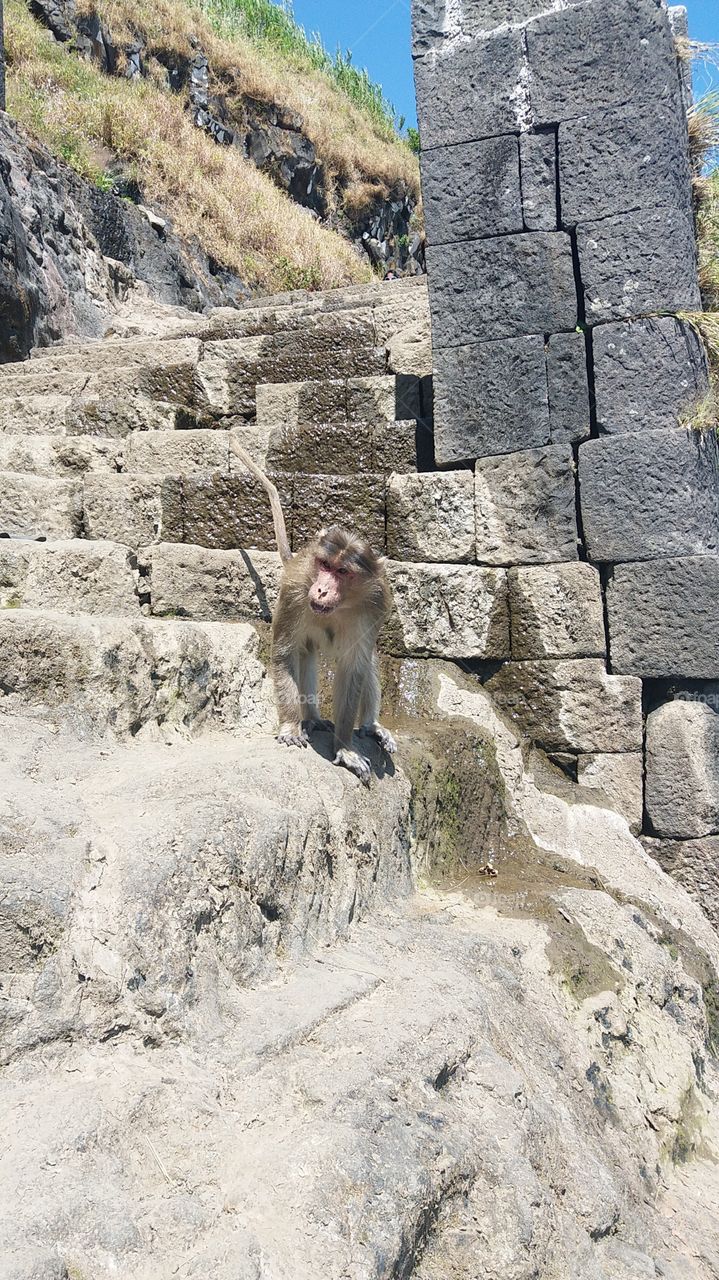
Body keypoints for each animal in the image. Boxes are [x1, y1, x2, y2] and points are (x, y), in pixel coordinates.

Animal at [229, 435, 397, 784]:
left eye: (343, 572)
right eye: (324, 565)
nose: (320, 589)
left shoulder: (377, 602)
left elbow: (354, 667)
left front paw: (345, 747)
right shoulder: (294, 591)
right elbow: (282, 654)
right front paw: (291, 727)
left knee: (368, 661)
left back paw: (369, 726)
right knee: (302, 653)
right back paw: (310, 719)